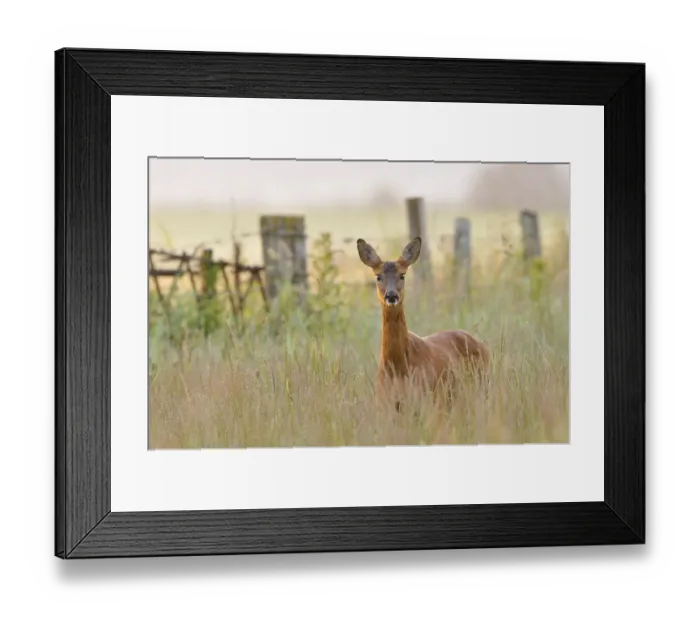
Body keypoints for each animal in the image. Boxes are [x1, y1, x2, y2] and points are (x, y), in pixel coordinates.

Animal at [357, 236, 490, 411]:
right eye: (378, 276)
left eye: (402, 275)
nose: (391, 296)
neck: (398, 368)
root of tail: (482, 344)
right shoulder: (385, 402)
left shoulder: (423, 398)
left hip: (480, 383)